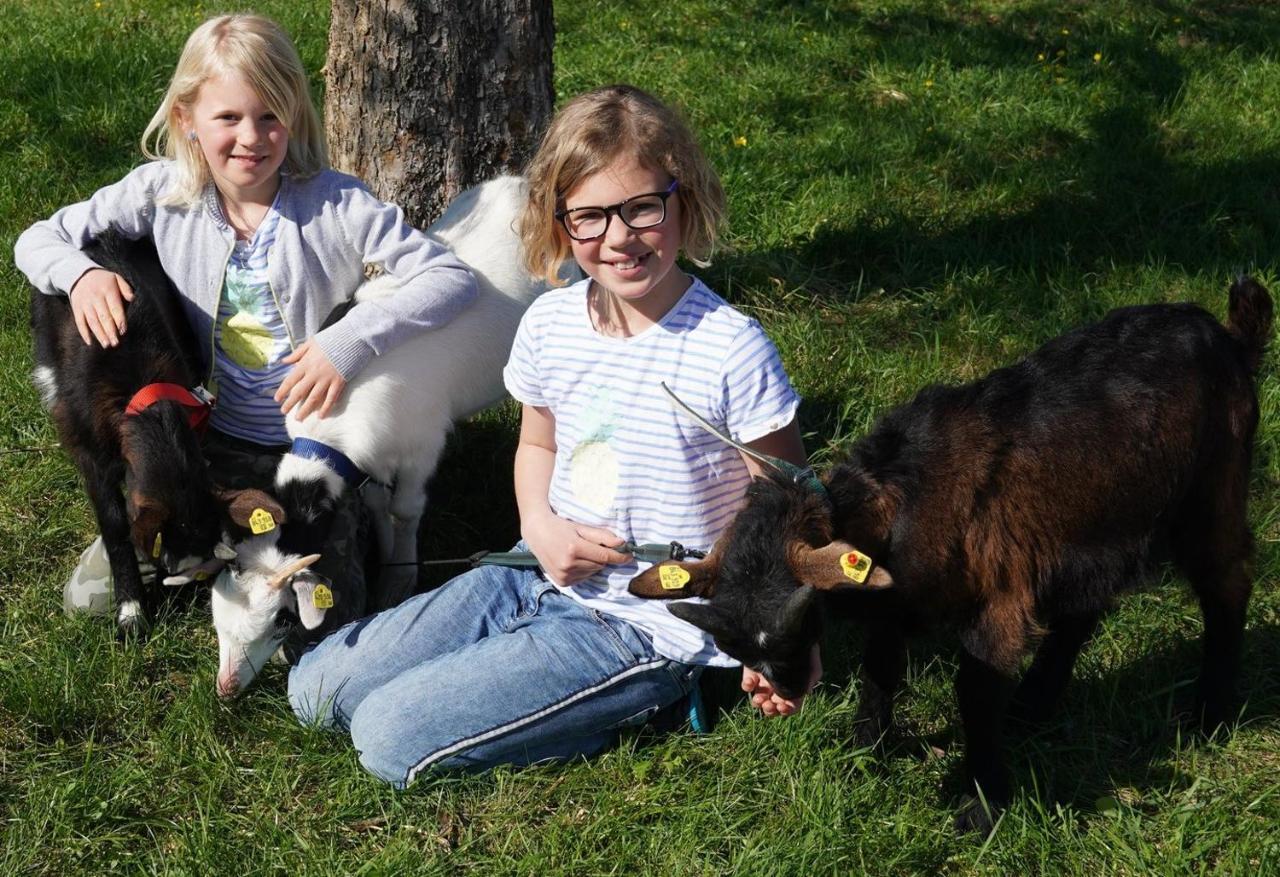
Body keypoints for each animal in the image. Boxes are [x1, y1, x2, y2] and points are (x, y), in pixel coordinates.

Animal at [211, 176, 560, 696]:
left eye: (280, 620)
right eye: (218, 621)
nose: (226, 687)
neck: (328, 431)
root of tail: (518, 183)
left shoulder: (422, 445)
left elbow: (406, 508)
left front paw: (402, 574)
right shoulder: (367, 459)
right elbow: (377, 503)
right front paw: (386, 558)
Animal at [634, 276, 1274, 829]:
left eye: (802, 612)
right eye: (734, 644)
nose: (786, 689)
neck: (903, 503)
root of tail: (1230, 334)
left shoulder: (999, 599)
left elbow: (976, 692)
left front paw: (983, 807)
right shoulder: (896, 601)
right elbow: (880, 669)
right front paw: (866, 751)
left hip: (1213, 486)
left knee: (1228, 579)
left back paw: (1210, 713)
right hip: (1098, 517)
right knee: (1085, 606)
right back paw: (1036, 704)